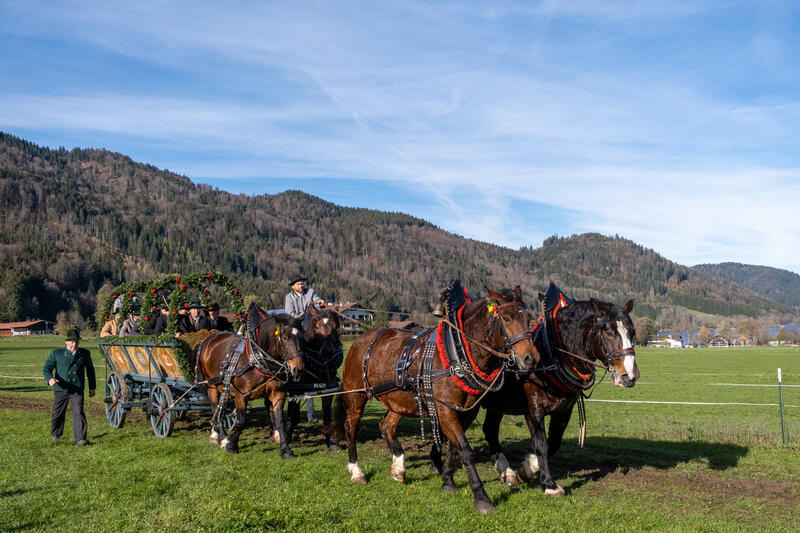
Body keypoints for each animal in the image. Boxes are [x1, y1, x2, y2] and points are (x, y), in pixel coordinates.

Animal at [196, 312, 304, 458]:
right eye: (285, 338)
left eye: (301, 336)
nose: (298, 369)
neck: (258, 359)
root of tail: (209, 338)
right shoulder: (241, 395)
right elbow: (241, 421)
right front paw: (231, 445)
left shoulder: (278, 393)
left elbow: (280, 421)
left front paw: (285, 450)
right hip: (211, 386)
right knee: (215, 411)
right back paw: (222, 438)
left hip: (225, 387)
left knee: (220, 411)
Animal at [334, 286, 540, 516]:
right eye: (507, 318)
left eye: (528, 318)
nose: (531, 358)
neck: (456, 352)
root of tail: (361, 339)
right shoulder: (445, 410)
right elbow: (465, 450)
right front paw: (481, 497)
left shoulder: (467, 412)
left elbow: (453, 448)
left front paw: (448, 481)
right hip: (355, 396)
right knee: (351, 429)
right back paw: (356, 471)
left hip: (399, 399)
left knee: (386, 426)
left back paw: (398, 467)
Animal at [432, 296, 636, 494]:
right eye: (608, 332)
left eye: (632, 332)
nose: (630, 376)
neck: (551, 353)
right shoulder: (533, 409)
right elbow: (541, 444)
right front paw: (548, 484)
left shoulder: (564, 410)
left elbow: (553, 443)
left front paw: (526, 469)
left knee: (489, 430)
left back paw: (505, 471)